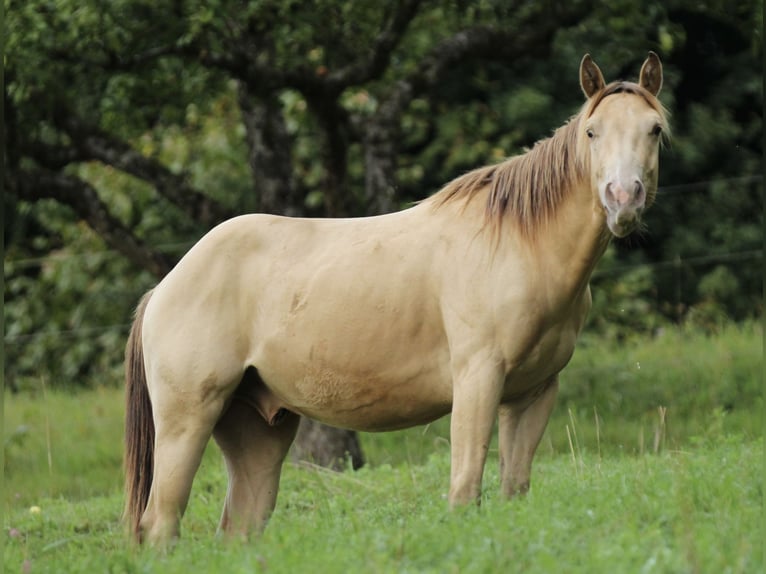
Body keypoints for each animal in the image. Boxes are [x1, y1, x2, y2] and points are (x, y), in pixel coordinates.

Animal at [124, 52, 668, 546]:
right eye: (592, 132)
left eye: (655, 130)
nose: (623, 198)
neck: (517, 243)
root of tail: (165, 287)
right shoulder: (477, 381)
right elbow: (465, 488)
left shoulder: (532, 395)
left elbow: (514, 488)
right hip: (187, 421)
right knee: (160, 523)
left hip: (258, 431)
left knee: (239, 526)